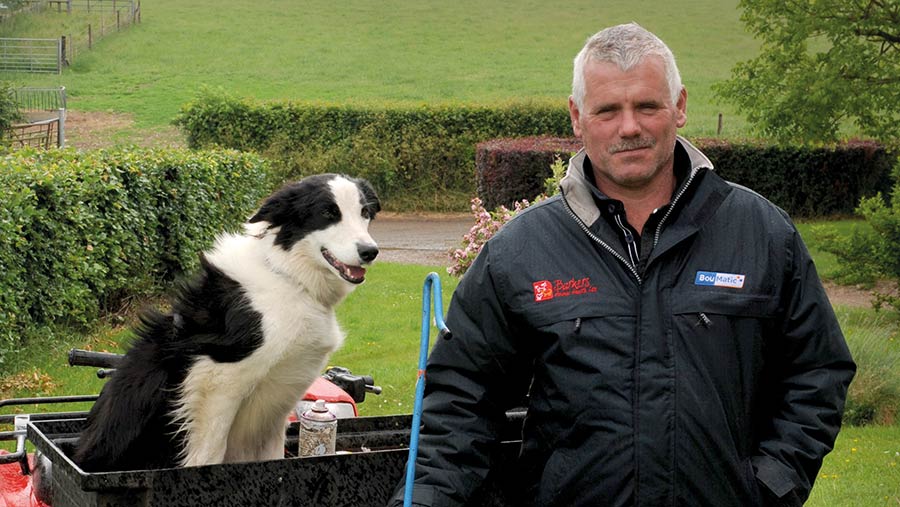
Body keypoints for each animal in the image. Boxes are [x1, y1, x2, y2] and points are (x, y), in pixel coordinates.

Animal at [72, 174, 378, 472]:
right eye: (328, 213)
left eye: (364, 213)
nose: (370, 251)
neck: (288, 277)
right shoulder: (217, 380)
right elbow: (208, 454)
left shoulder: (278, 401)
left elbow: (274, 456)